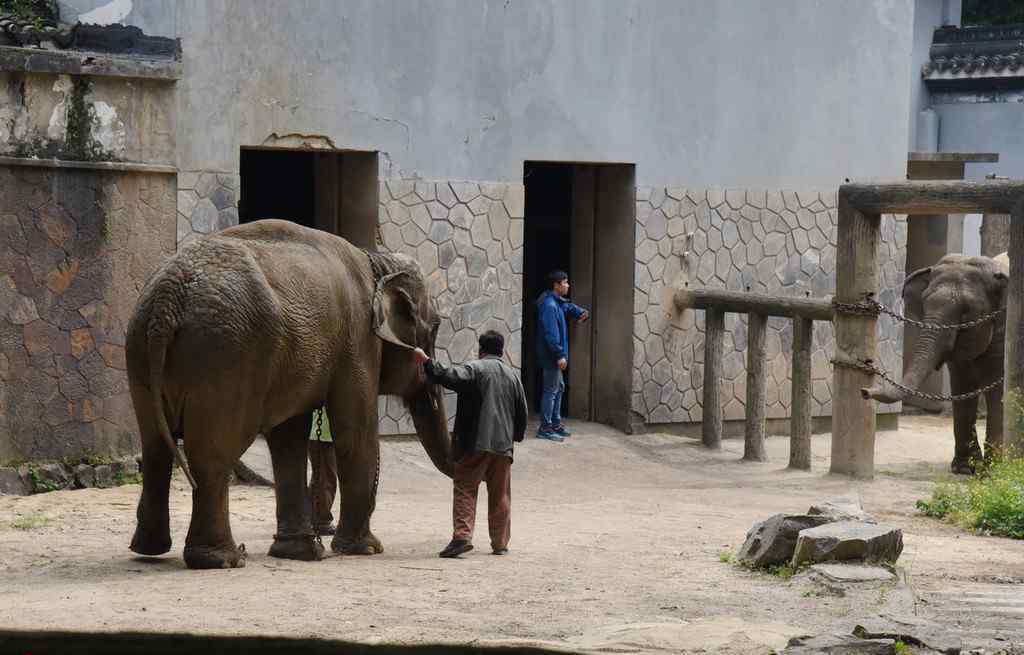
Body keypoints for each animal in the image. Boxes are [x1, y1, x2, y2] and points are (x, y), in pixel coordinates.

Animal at [124, 219, 452, 569]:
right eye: (434, 328)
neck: (378, 263)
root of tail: (168, 298)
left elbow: (290, 436)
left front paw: (300, 552)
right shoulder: (358, 342)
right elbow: (354, 429)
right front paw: (366, 549)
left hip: (143, 348)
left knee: (155, 447)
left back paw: (150, 549)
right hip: (224, 355)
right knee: (212, 454)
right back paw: (224, 559)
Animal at [864, 250, 1007, 470]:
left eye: (966, 312)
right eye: (925, 304)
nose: (864, 391)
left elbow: (997, 389)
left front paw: (992, 471)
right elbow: (962, 385)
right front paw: (964, 469)